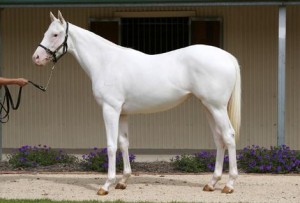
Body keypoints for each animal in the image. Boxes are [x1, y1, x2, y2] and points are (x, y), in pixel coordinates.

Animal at [31, 11, 240, 195]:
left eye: (55, 34)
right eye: (45, 33)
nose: (36, 58)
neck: (106, 62)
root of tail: (229, 57)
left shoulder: (110, 110)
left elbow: (111, 146)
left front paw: (106, 185)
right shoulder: (122, 113)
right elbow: (124, 143)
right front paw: (123, 181)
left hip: (217, 108)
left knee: (229, 136)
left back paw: (229, 185)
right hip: (208, 107)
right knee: (219, 139)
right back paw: (211, 183)